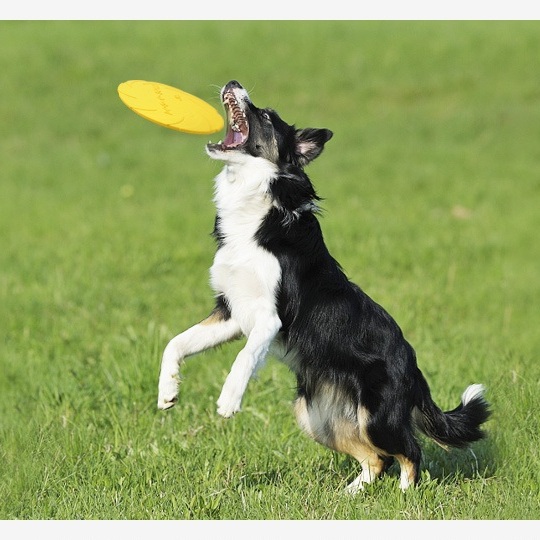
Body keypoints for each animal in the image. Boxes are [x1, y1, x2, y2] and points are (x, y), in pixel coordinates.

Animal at [156, 81, 490, 494]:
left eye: (267, 115)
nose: (233, 83)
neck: (259, 208)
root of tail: (414, 369)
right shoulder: (231, 312)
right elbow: (176, 343)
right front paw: (168, 391)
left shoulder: (270, 318)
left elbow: (245, 357)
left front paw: (229, 399)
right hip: (315, 414)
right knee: (375, 458)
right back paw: (352, 494)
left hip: (377, 416)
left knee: (409, 452)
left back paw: (403, 496)